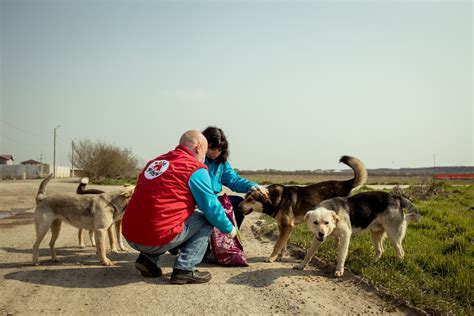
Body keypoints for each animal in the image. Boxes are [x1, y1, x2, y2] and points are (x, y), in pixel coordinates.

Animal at [237, 156, 366, 262]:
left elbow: (277, 245)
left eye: (250, 199)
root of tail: (346, 183)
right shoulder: (283, 227)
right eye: (245, 197)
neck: (275, 199)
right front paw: (279, 257)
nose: (237, 207)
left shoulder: (287, 226)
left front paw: (271, 258)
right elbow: (282, 244)